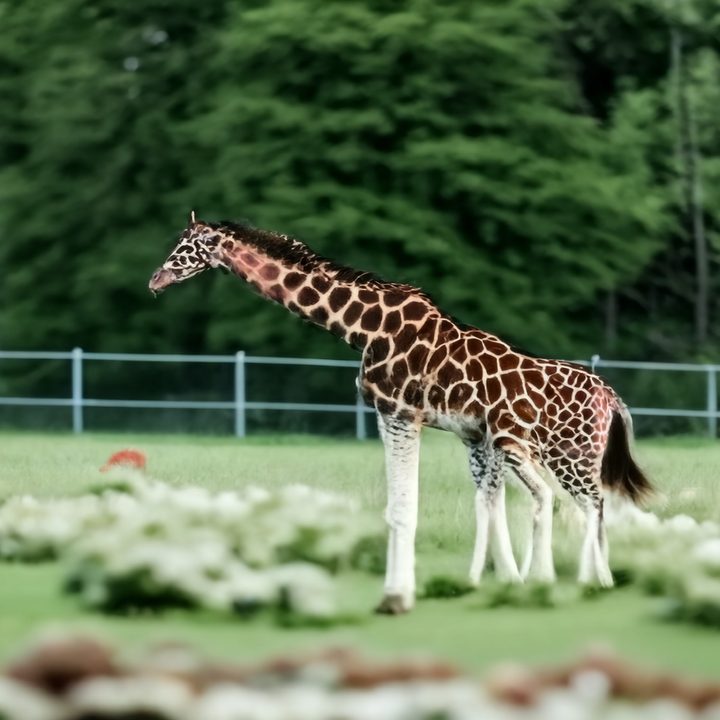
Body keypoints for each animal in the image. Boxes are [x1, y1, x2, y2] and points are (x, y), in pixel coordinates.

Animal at [149, 214, 652, 614]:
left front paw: (396, 597)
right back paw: (591, 581)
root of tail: (613, 398)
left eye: (185, 246)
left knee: (585, 503)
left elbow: (404, 509)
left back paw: (581, 581)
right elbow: (424, 507)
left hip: (565, 453)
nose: (155, 279)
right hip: (548, 452)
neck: (363, 328)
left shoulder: (401, 413)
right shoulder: (423, 423)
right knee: (588, 505)